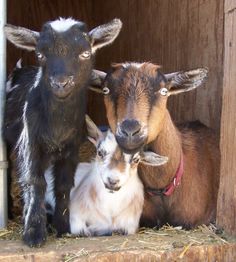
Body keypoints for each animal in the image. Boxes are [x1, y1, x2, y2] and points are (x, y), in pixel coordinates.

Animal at [4, 17, 121, 247]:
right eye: (40, 55)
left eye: (85, 53)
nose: (60, 83)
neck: (57, 125)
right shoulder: (30, 143)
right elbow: (35, 181)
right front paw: (33, 233)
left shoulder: (71, 148)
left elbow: (63, 185)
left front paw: (63, 227)